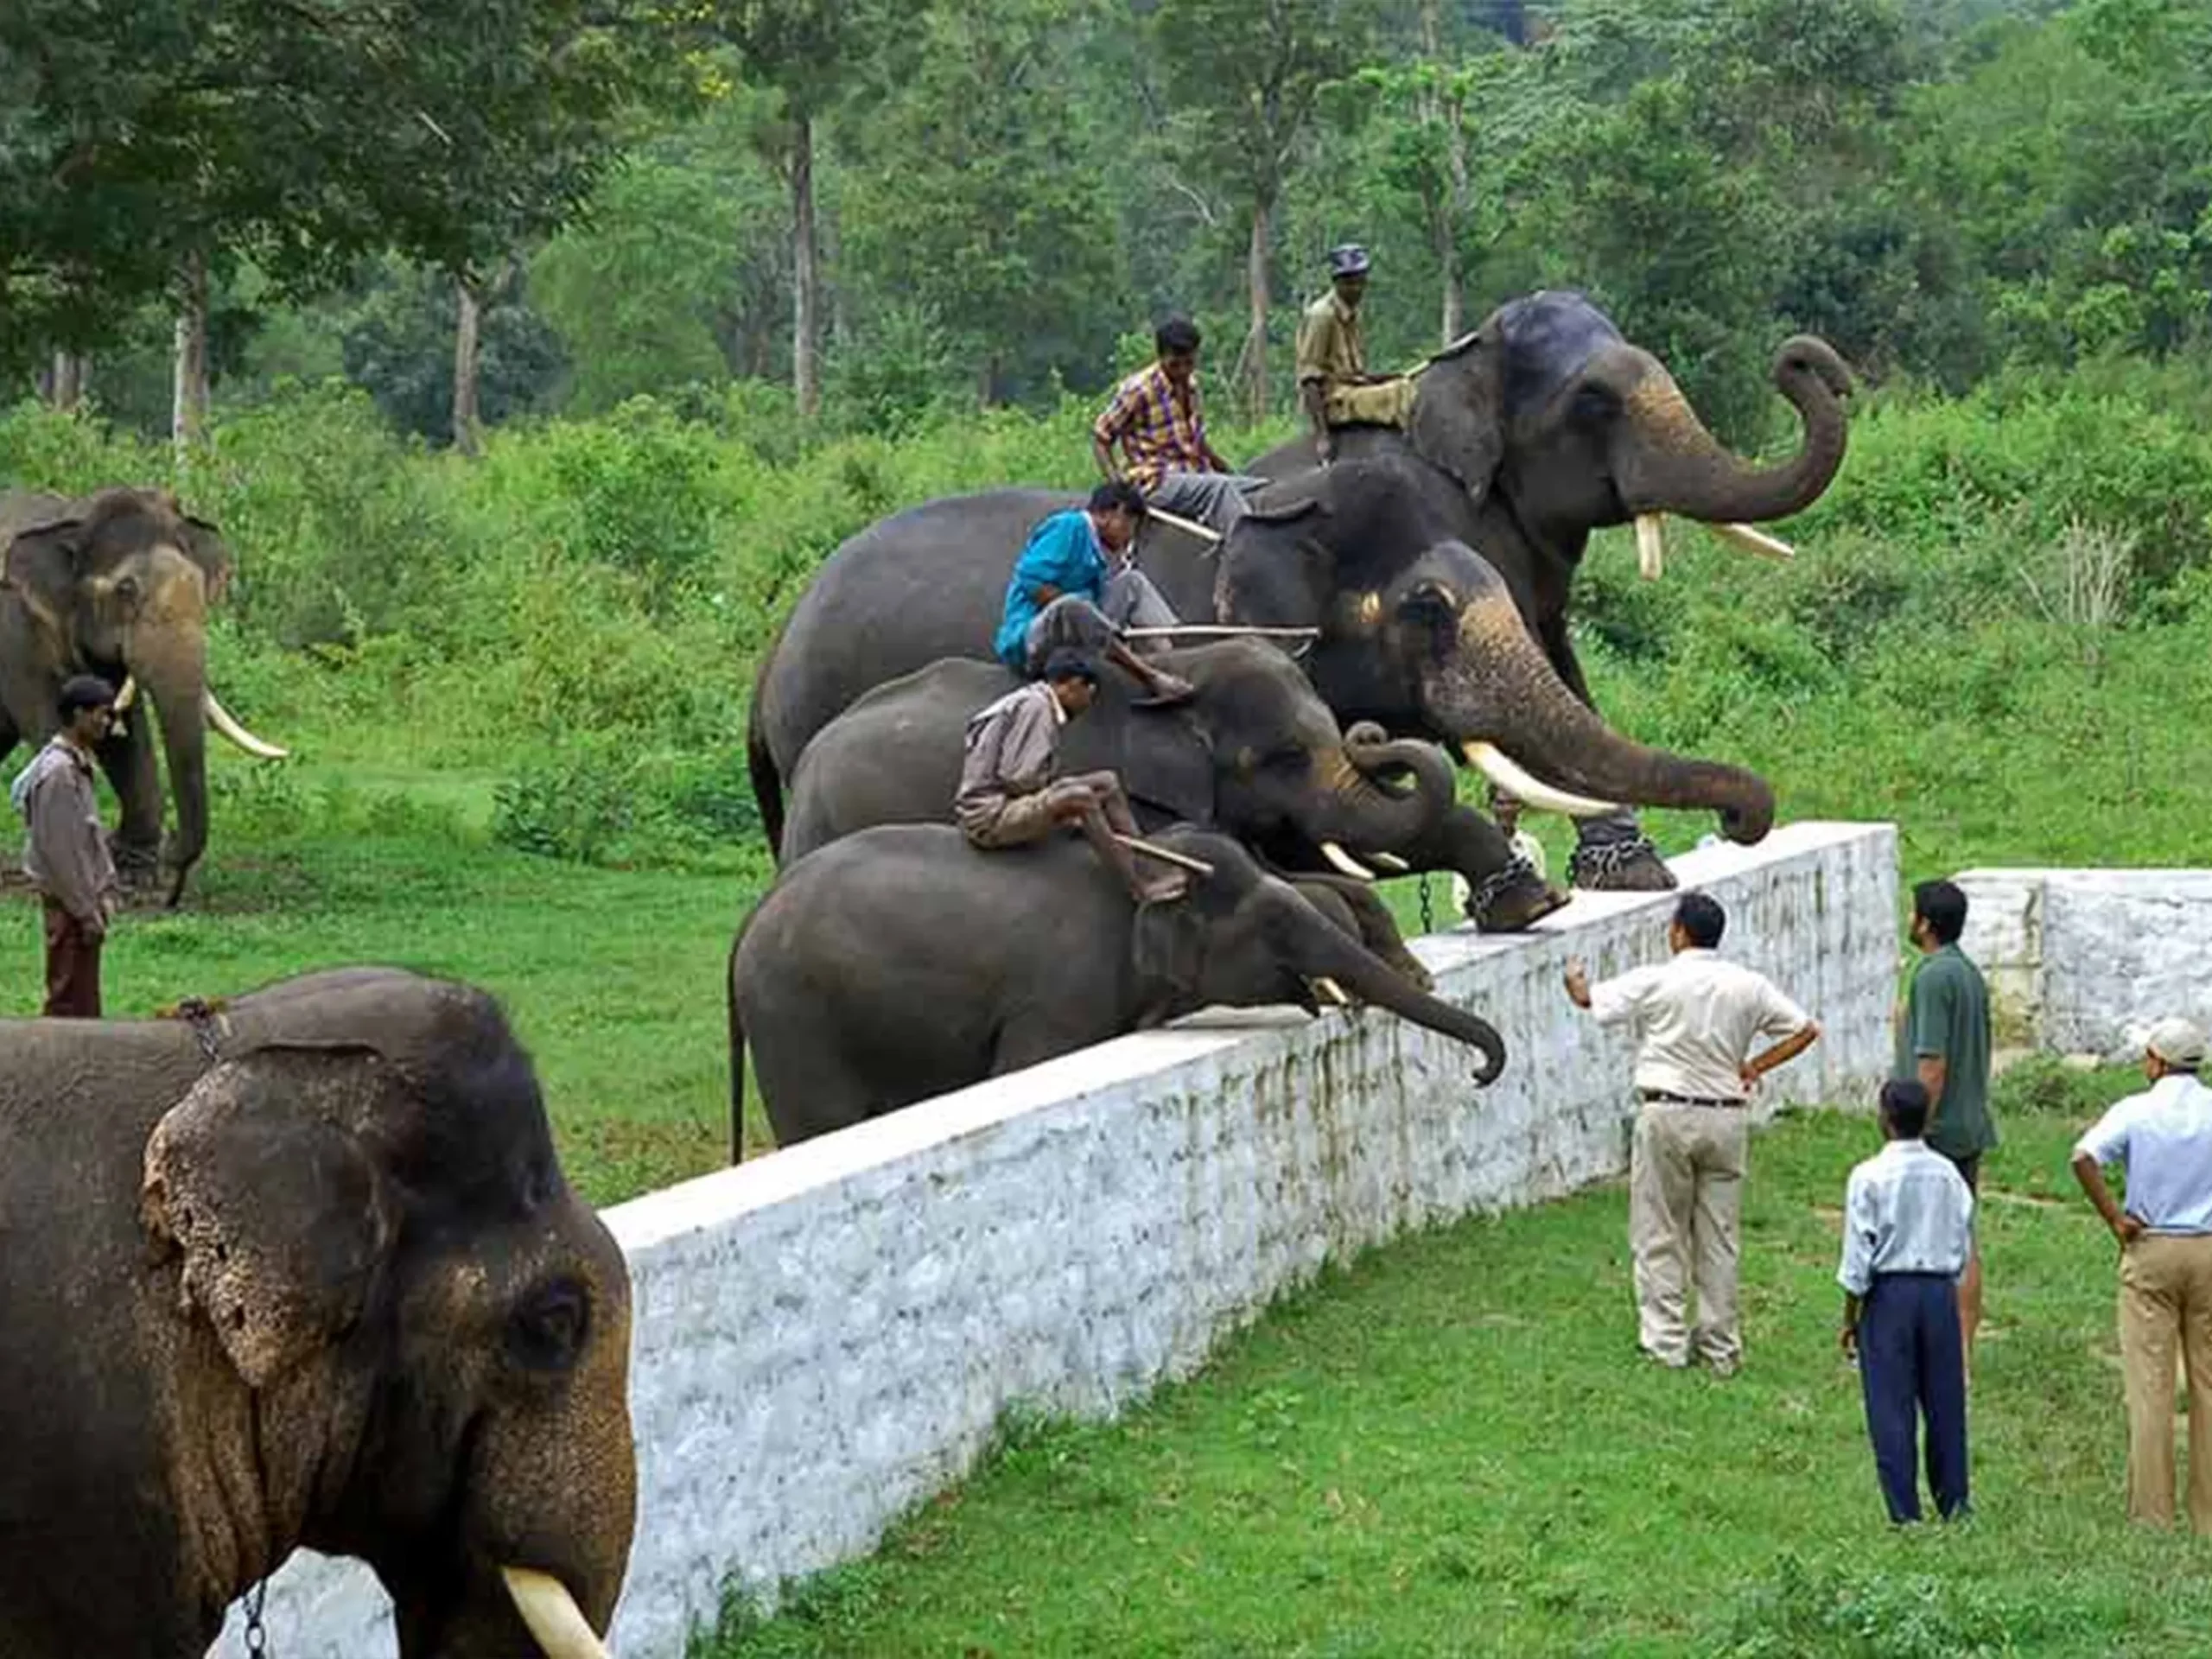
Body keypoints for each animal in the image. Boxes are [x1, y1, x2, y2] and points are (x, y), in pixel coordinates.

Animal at [1, 487, 289, 906]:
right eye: (126, 590)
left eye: (200, 585)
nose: (174, 853)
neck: (75, 514)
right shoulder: (15, 634)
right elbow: (52, 724)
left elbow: (126, 734)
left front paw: (134, 875)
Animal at [729, 823, 1507, 1150]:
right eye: (1276, 923)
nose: (1478, 1072)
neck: (1150, 867)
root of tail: (745, 928)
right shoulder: (1056, 998)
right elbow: (1024, 1066)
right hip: (795, 1019)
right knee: (821, 1122)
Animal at [744, 290, 1846, 896]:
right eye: (1593, 403)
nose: (1805, 358)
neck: (1439, 380)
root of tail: (772, 653)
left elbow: (1556, 674)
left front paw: (1631, 875)